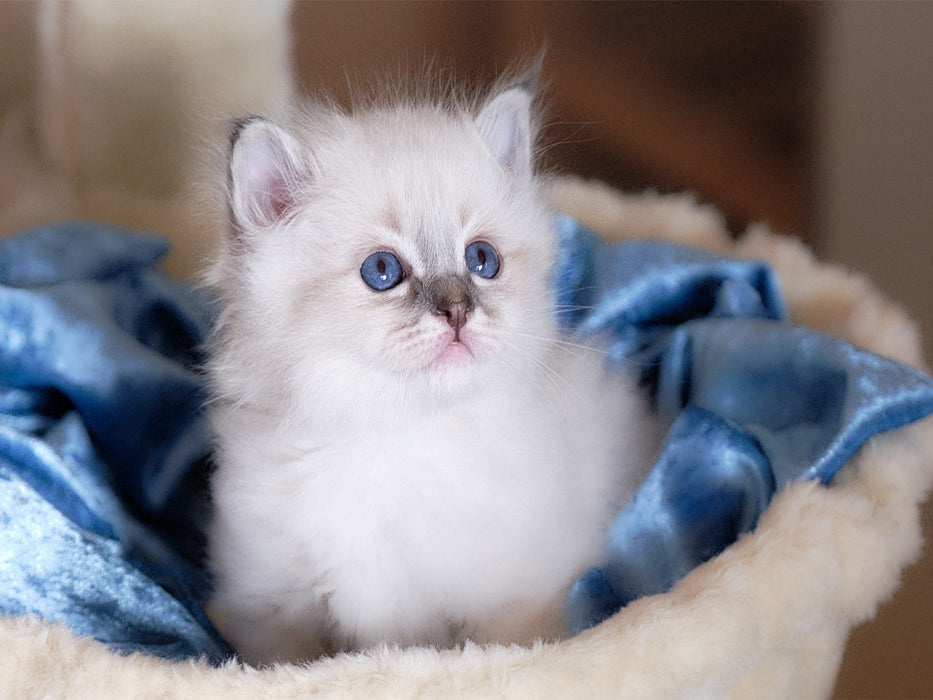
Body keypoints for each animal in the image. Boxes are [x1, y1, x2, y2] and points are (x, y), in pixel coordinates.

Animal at [206, 78, 656, 668]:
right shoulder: (273, 614)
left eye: (482, 260)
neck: (396, 434)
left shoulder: (514, 601)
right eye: (382, 271)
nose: (458, 310)